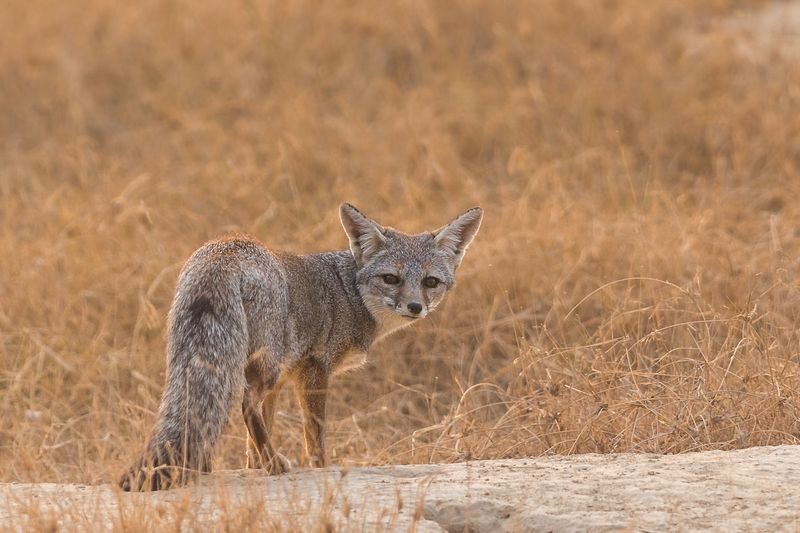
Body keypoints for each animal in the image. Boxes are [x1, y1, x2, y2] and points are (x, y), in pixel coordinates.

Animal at [118, 203, 482, 490]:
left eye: (430, 282)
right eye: (391, 278)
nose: (415, 307)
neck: (349, 292)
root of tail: (227, 248)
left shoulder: (284, 379)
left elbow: (262, 429)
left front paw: (255, 466)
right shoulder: (314, 368)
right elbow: (314, 433)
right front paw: (316, 467)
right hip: (266, 365)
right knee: (245, 403)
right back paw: (275, 464)